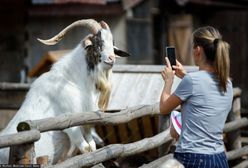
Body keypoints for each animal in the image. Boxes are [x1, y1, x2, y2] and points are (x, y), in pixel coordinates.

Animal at [0, 18, 131, 164]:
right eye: (98, 42)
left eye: (112, 43)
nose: (111, 59)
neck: (72, 81)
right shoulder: (71, 127)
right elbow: (86, 149)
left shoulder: (86, 124)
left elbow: (92, 147)